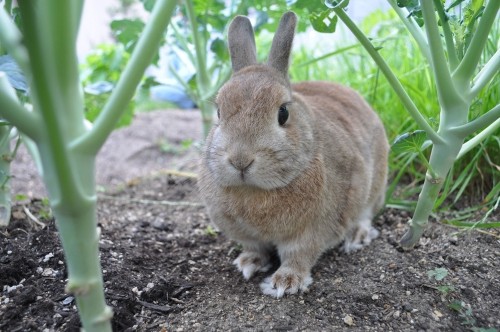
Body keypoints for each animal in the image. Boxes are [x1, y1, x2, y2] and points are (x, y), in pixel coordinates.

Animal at [199, 11, 390, 298]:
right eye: (219, 112)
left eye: (283, 113)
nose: (240, 160)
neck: (254, 191)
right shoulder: (246, 235)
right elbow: (255, 248)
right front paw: (248, 263)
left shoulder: (313, 230)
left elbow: (299, 256)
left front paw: (285, 282)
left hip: (375, 184)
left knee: (367, 212)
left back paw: (357, 236)